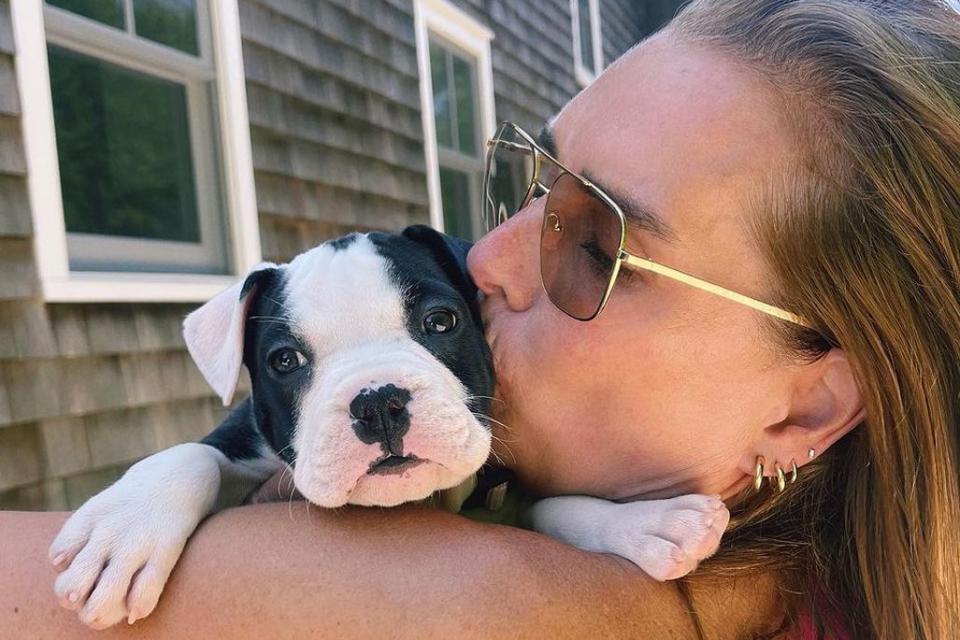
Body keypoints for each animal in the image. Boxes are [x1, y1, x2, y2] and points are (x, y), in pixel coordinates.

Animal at [47, 226, 728, 632]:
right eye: (284, 361)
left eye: (441, 321)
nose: (377, 403)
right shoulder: (242, 437)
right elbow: (190, 454)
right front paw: (122, 530)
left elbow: (546, 504)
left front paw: (646, 522)